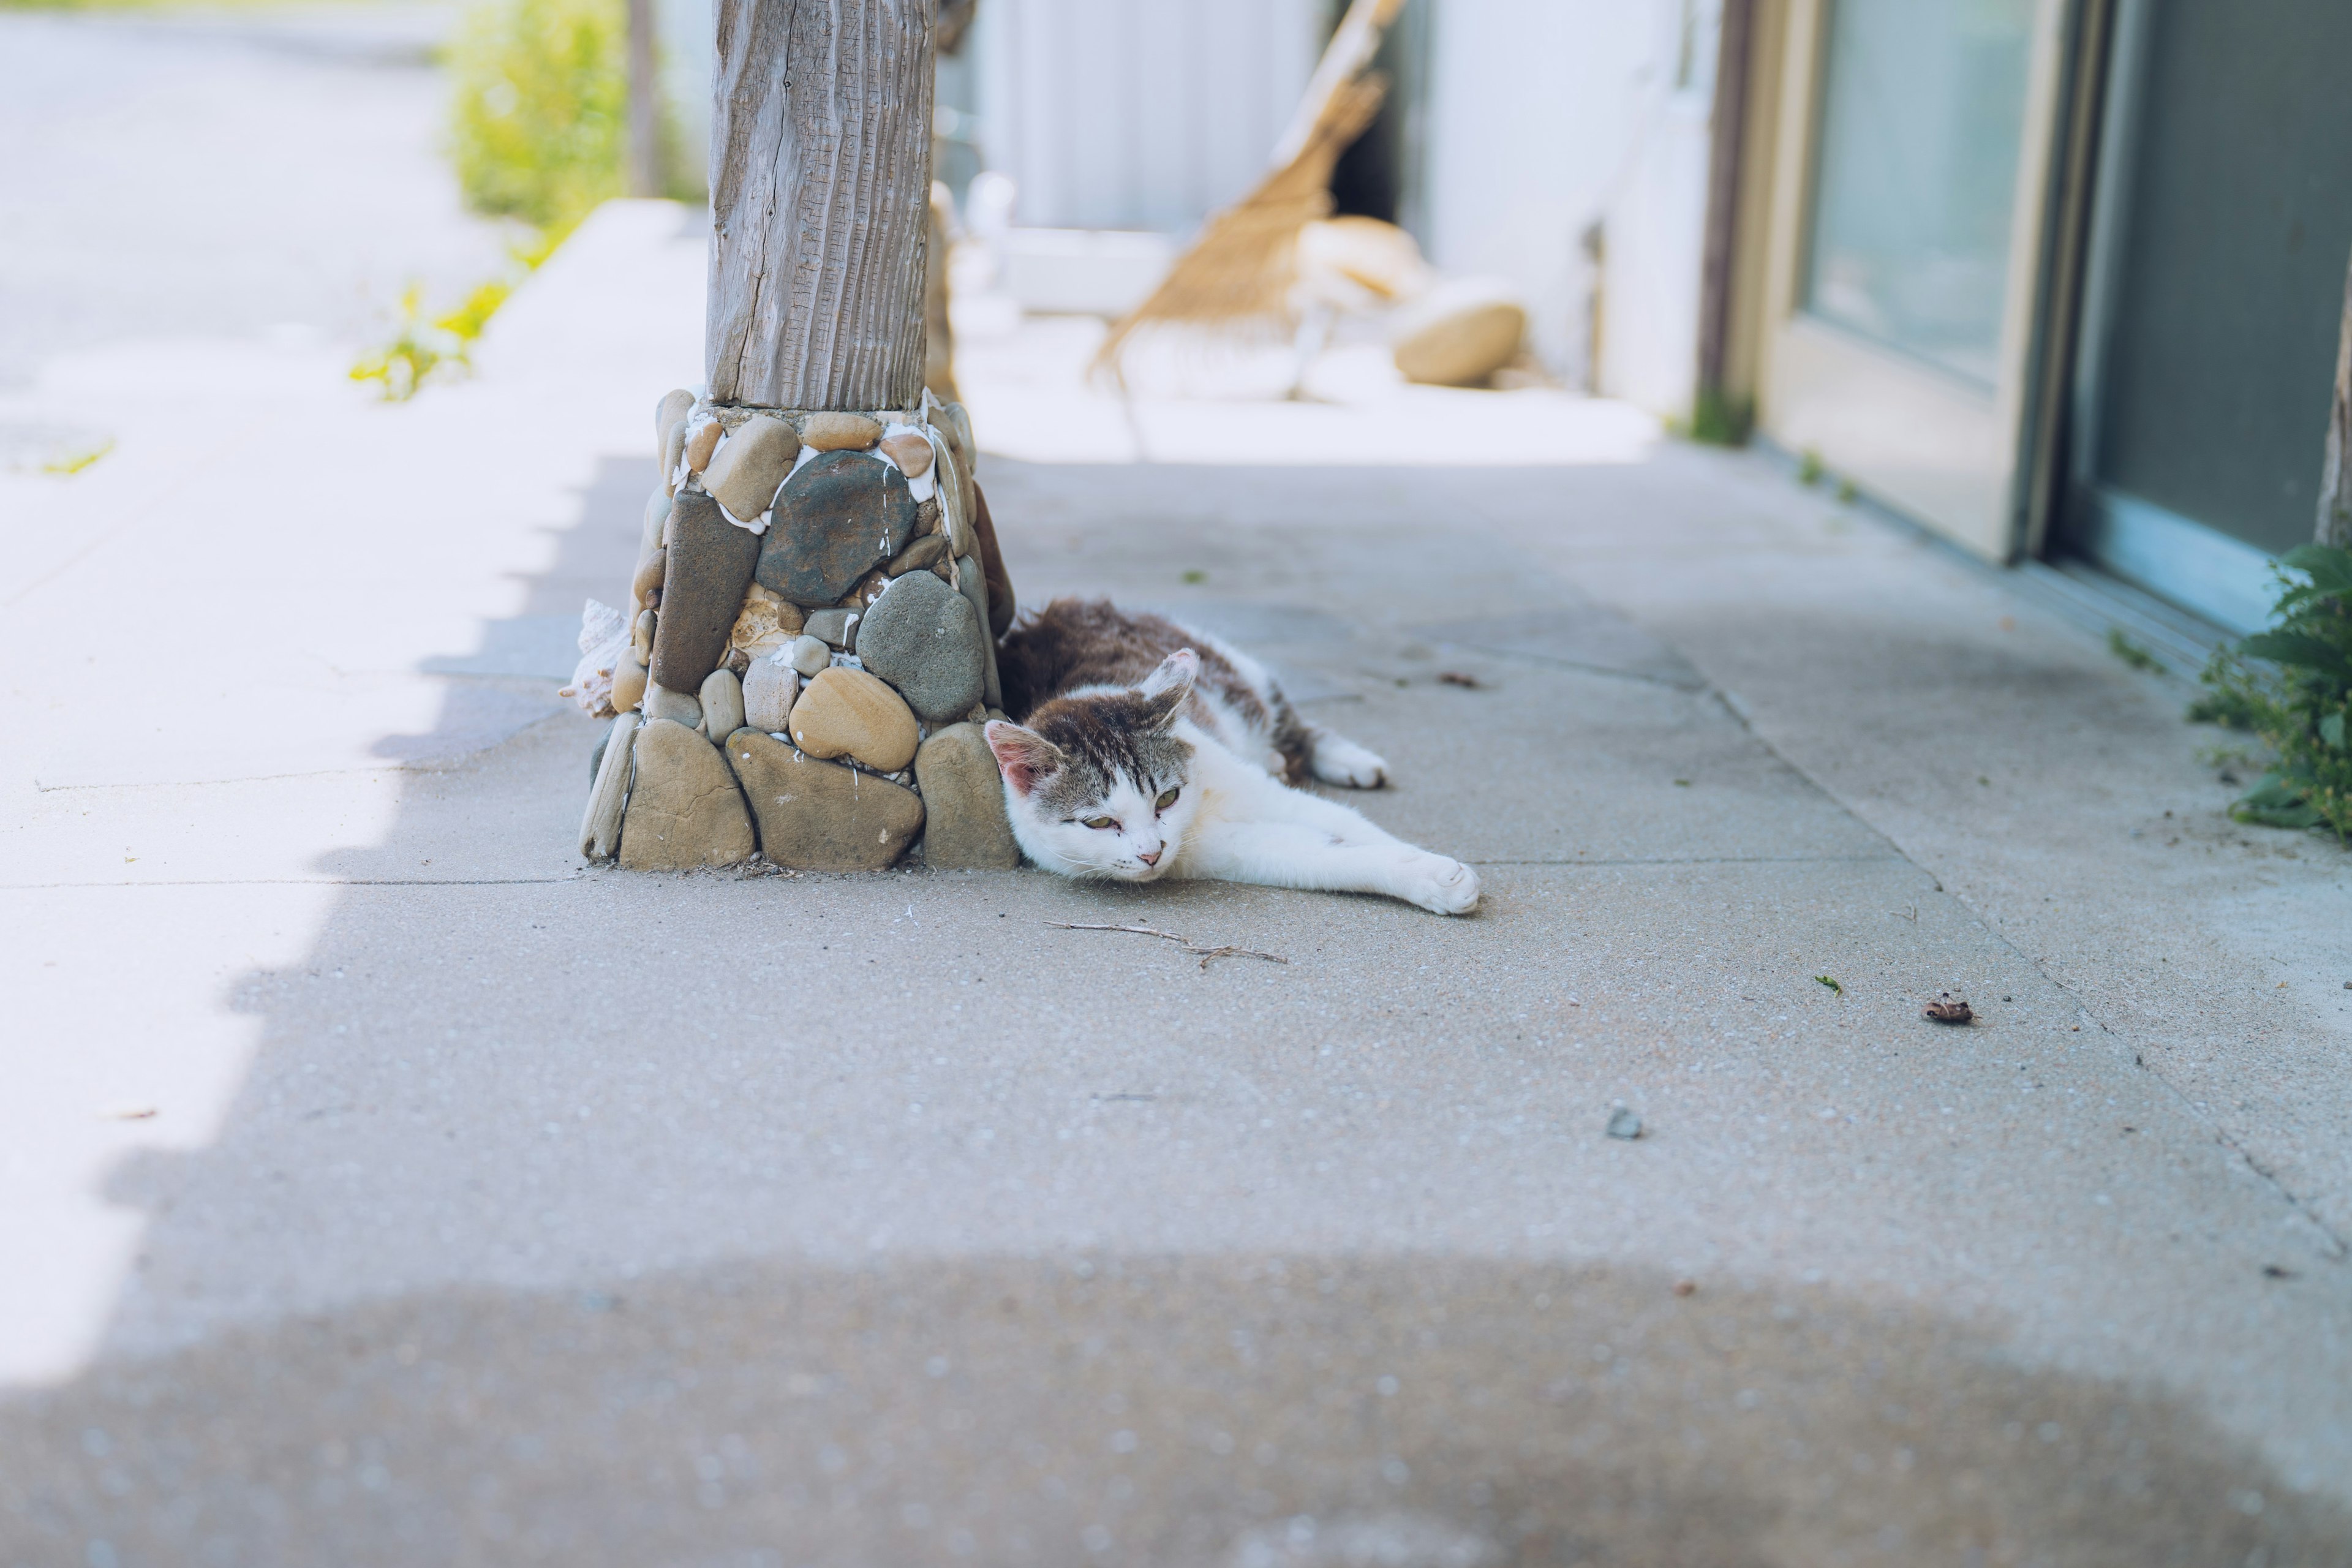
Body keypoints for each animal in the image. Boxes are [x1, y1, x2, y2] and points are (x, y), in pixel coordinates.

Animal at [983, 601, 1477, 921]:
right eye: (1100, 824)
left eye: (1167, 798)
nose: (1151, 854)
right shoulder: (1224, 853)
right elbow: (1321, 856)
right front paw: (1429, 877)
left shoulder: (1256, 788)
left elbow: (1349, 824)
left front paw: (1433, 869)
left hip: (1235, 674)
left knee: (1292, 722)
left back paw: (1350, 760)